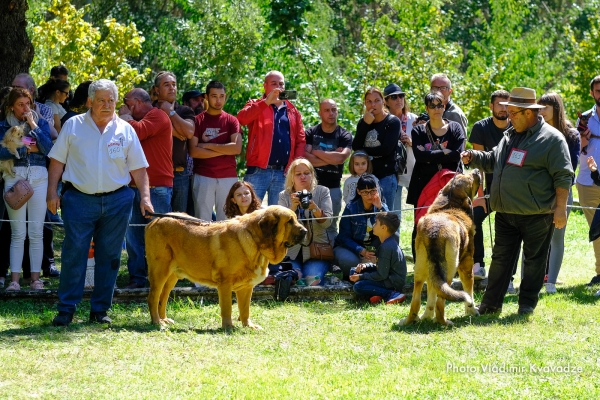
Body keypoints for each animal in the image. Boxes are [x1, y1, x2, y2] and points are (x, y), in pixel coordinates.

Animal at [144, 205, 304, 330]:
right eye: (289, 221)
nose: (305, 232)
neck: (255, 241)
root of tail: (155, 220)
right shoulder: (225, 284)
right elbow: (227, 307)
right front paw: (228, 327)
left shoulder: (246, 287)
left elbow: (245, 309)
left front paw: (248, 325)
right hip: (160, 272)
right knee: (153, 297)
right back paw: (158, 322)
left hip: (172, 276)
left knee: (163, 297)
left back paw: (164, 319)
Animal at [400, 168, 480, 324]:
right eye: (469, 179)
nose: (476, 170)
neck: (450, 204)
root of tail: (434, 232)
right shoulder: (467, 265)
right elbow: (469, 291)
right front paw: (472, 311)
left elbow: (431, 294)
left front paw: (427, 317)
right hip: (450, 269)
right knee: (441, 301)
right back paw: (444, 322)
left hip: (421, 268)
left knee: (417, 300)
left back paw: (411, 320)